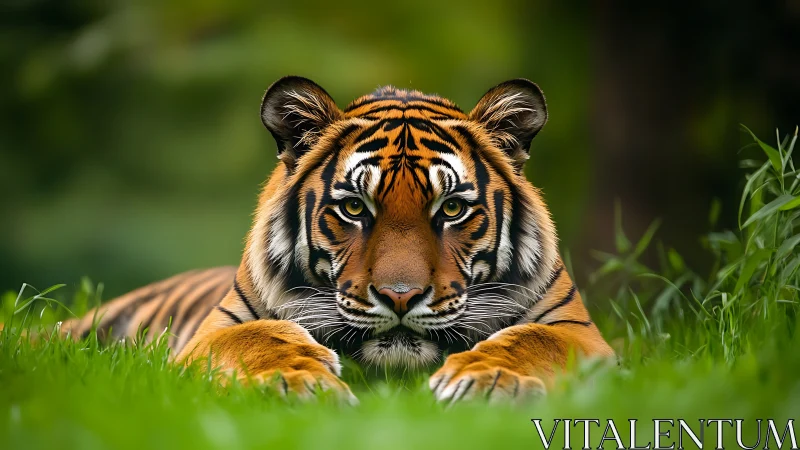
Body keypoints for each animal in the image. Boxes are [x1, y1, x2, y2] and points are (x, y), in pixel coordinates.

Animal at [60, 76, 614, 404]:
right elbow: (256, 338)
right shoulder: (214, 331)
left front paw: (485, 379)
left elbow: (531, 340)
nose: (399, 297)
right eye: (354, 208)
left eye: (452, 209)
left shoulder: (577, 330)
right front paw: (297, 381)